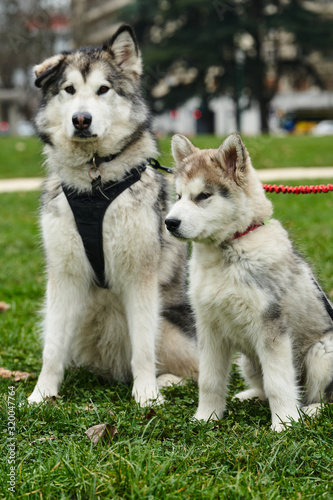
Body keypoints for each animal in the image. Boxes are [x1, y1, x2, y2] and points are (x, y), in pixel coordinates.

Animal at [28, 24, 197, 406]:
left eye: (103, 89)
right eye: (69, 90)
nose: (81, 119)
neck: (95, 185)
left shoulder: (140, 276)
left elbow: (144, 347)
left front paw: (146, 393)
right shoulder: (63, 275)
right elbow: (52, 347)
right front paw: (41, 393)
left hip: (170, 325)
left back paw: (167, 381)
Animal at [166, 135, 332, 432]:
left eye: (203, 196)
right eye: (178, 196)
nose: (169, 222)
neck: (229, 249)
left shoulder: (271, 328)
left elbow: (278, 382)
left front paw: (284, 424)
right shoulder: (208, 327)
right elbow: (209, 380)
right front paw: (205, 417)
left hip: (322, 351)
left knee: (323, 397)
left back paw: (310, 410)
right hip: (246, 361)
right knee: (263, 385)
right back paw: (250, 396)